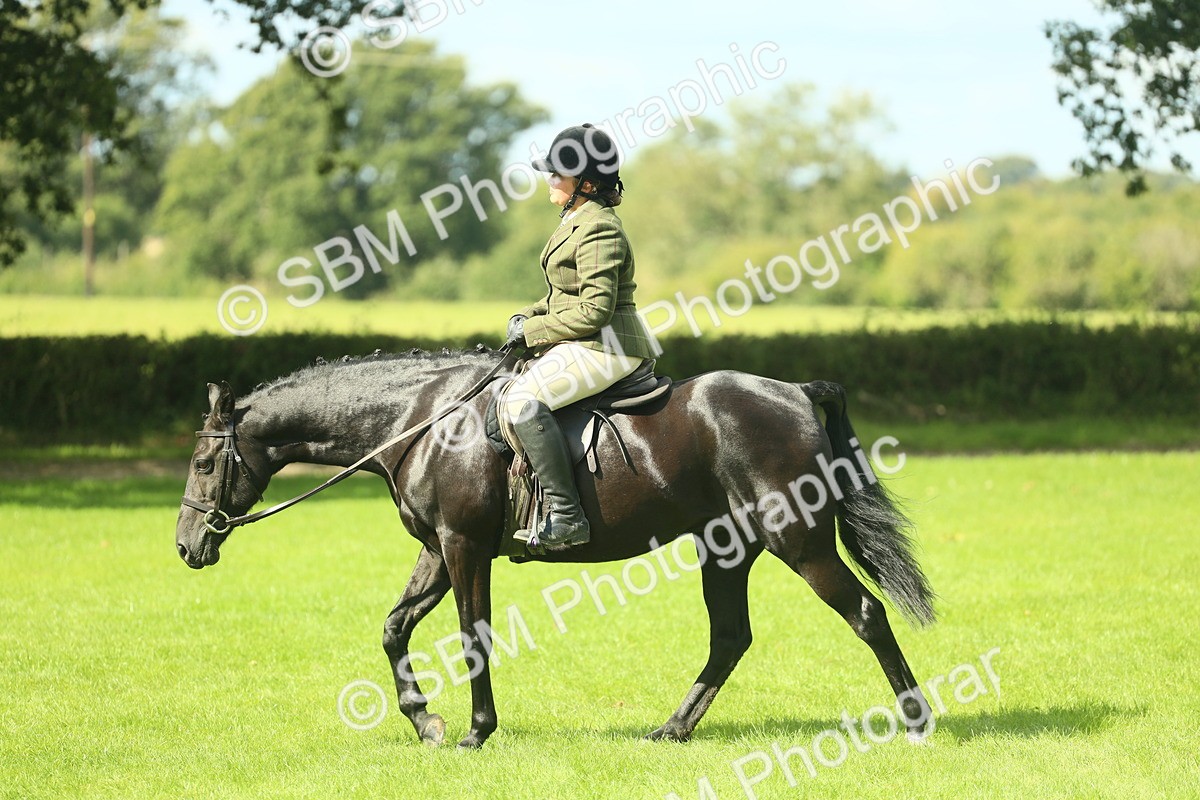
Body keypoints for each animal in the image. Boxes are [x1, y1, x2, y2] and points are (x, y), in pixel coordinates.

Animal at [175, 346, 937, 749]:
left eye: (205, 463)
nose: (186, 547)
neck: (420, 421)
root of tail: (797, 391)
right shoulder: (437, 551)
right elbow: (394, 628)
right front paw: (426, 722)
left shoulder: (463, 548)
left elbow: (473, 635)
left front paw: (476, 731)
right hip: (728, 549)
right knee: (730, 638)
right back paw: (671, 730)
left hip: (797, 540)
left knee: (866, 615)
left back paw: (916, 719)